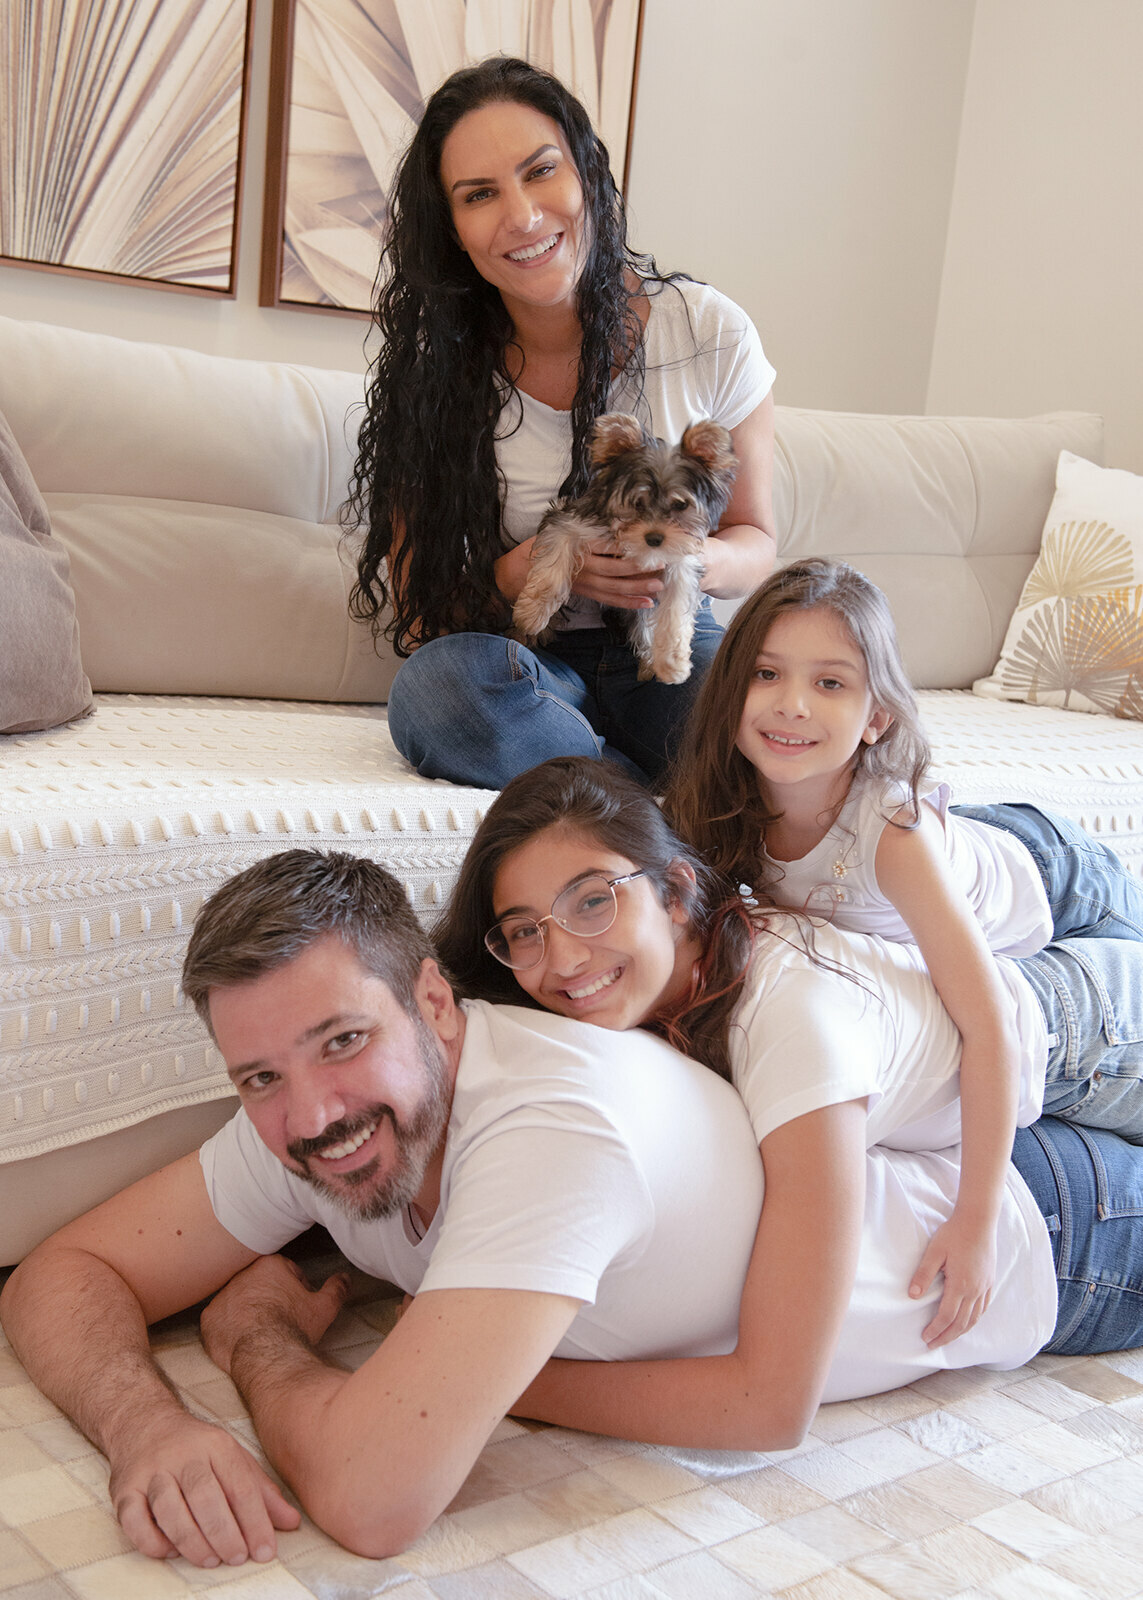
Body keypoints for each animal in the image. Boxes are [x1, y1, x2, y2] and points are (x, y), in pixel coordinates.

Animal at [512, 412, 733, 681]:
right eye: (637, 503)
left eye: (681, 505)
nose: (654, 538)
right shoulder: (569, 521)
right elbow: (554, 563)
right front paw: (532, 614)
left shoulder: (681, 563)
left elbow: (676, 608)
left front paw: (672, 662)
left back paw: (649, 663)